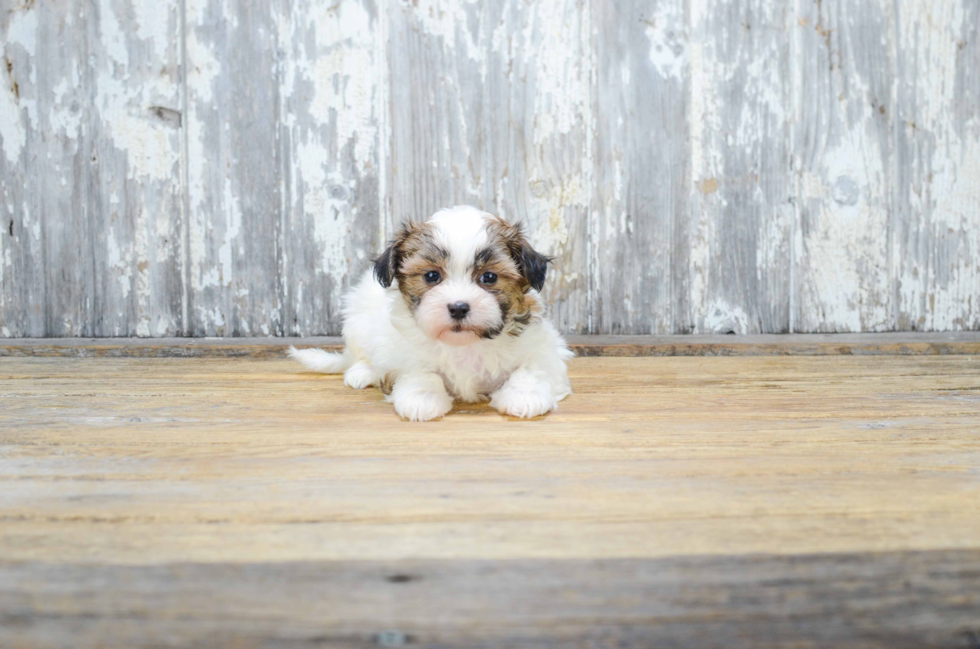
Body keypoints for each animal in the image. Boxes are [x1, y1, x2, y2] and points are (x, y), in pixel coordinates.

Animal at [288, 205, 572, 422]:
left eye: (489, 277)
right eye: (432, 276)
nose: (458, 307)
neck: (464, 344)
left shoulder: (543, 345)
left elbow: (533, 367)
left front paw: (524, 396)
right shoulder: (403, 351)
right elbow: (418, 370)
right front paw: (421, 398)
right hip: (358, 319)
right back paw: (362, 372)